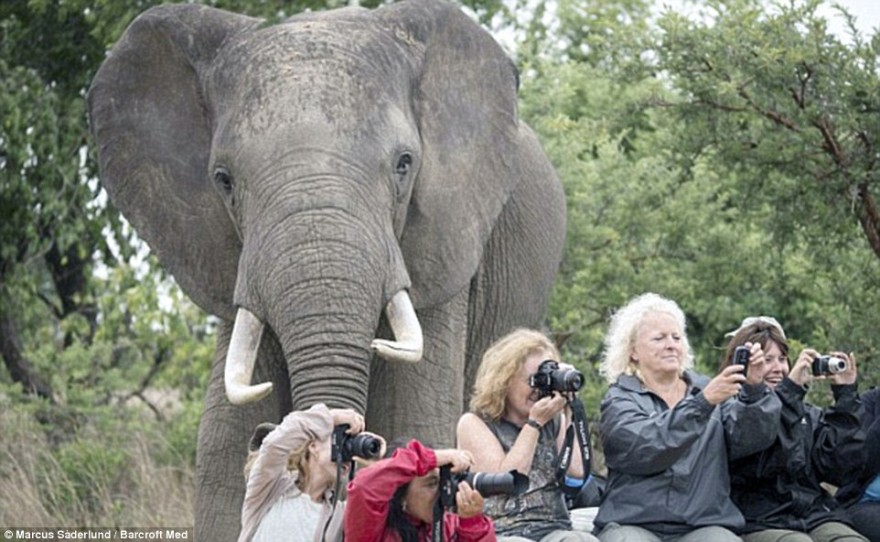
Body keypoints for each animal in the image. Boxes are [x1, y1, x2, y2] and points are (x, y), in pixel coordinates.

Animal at [87, 0, 564, 540]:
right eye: (223, 180)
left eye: (404, 164)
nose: (338, 442)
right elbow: (222, 444)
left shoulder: (445, 242)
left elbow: (414, 411)